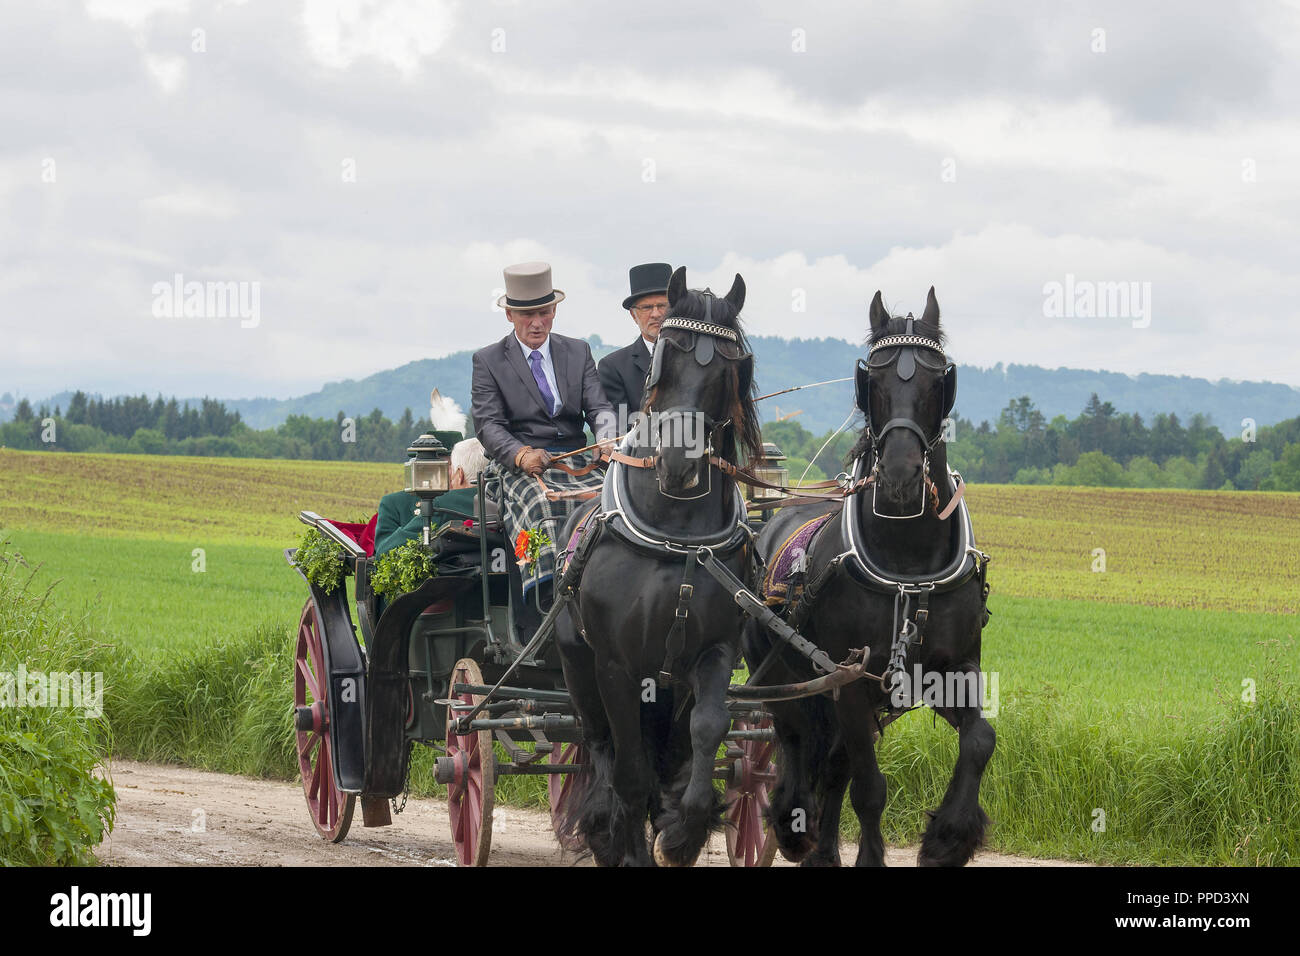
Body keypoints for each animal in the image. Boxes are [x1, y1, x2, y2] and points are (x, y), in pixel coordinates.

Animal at [556, 265, 759, 863]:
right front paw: (628, 844)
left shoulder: (715, 651)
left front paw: (684, 827)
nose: (678, 465)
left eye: (729, 365)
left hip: (669, 687)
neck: (677, 536)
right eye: (665, 357)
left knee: (668, 751)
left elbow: (708, 730)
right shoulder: (615, 666)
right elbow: (629, 774)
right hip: (579, 669)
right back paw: (605, 832)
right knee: (604, 750)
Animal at [743, 286, 993, 868]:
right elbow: (870, 788)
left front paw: (949, 837)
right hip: (789, 678)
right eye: (873, 381)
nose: (901, 478)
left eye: (936, 381)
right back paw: (793, 825)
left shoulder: (954, 670)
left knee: (832, 764)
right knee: (796, 742)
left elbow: (980, 740)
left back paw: (822, 849)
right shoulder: (850, 681)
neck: (908, 564)